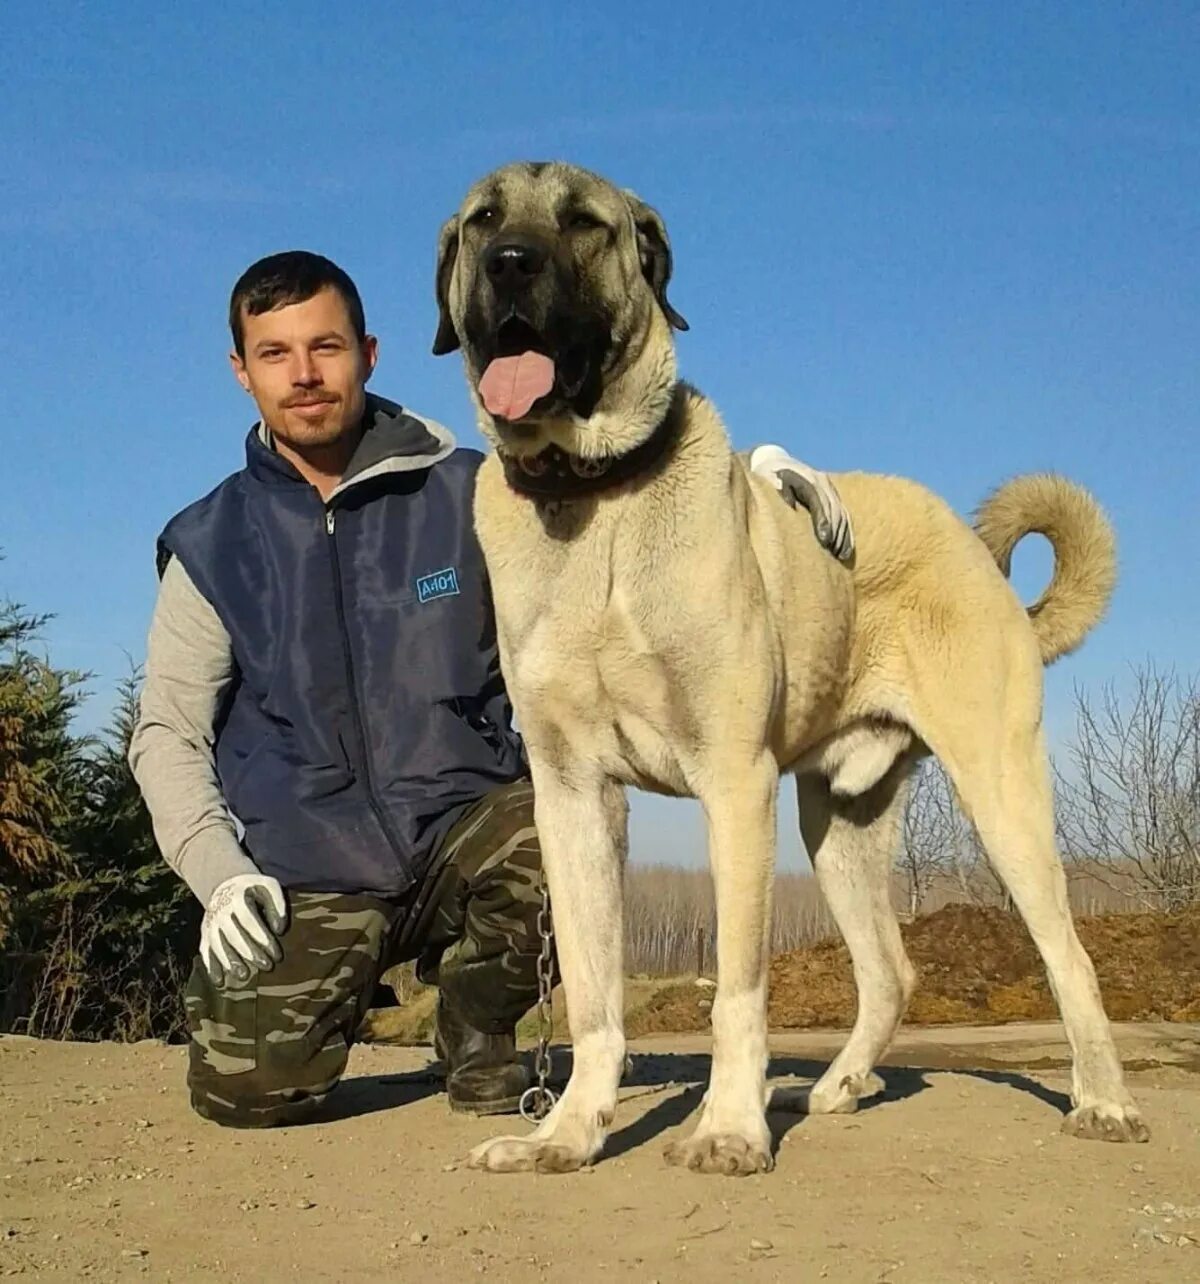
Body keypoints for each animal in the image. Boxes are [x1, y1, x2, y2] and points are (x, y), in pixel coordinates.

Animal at [428, 157, 1144, 1176]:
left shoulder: (735, 782)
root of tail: (978, 558)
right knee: (891, 969)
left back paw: (1104, 1102)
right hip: (840, 820)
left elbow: (737, 989)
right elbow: (596, 997)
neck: (592, 501)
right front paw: (566, 1134)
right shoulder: (572, 797)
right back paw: (839, 1085)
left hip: (999, 791)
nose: (511, 264)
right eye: (484, 219)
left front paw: (729, 1127)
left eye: (583, 223)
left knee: (1066, 952)